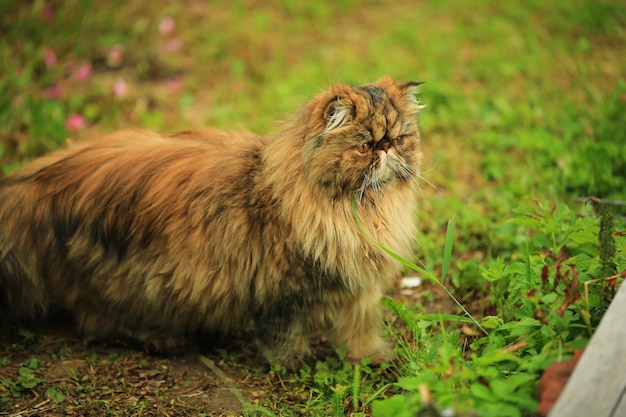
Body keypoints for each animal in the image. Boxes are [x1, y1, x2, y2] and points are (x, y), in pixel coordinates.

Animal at [0, 76, 422, 366]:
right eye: (366, 146)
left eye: (399, 140)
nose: (386, 149)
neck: (359, 212)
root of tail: (41, 181)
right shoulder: (283, 293)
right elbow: (284, 338)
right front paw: (293, 364)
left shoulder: (360, 289)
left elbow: (359, 330)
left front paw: (371, 357)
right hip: (132, 283)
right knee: (96, 321)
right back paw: (162, 339)